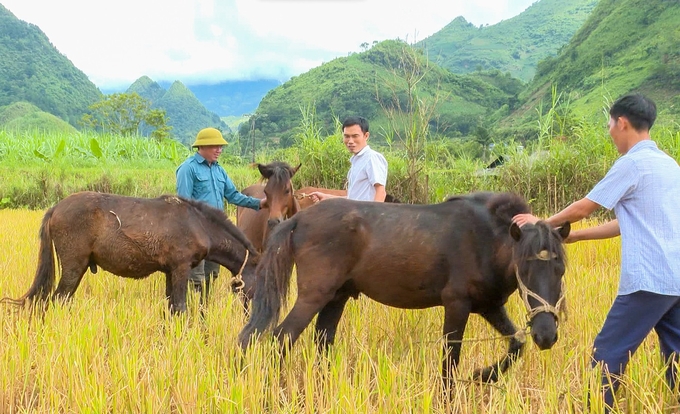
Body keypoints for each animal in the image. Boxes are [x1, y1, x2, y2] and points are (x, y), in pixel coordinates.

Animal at [0, 192, 260, 312]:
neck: (199, 224)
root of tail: (56, 208)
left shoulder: (170, 272)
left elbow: (171, 307)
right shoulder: (181, 269)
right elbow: (180, 308)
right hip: (74, 268)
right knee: (57, 300)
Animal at [239, 192, 568, 384]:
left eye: (560, 270)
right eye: (524, 269)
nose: (546, 335)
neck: (485, 238)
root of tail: (298, 218)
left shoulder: (489, 305)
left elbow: (516, 344)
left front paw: (483, 375)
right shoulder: (457, 305)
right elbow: (449, 361)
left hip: (336, 297)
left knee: (322, 343)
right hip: (314, 296)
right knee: (281, 339)